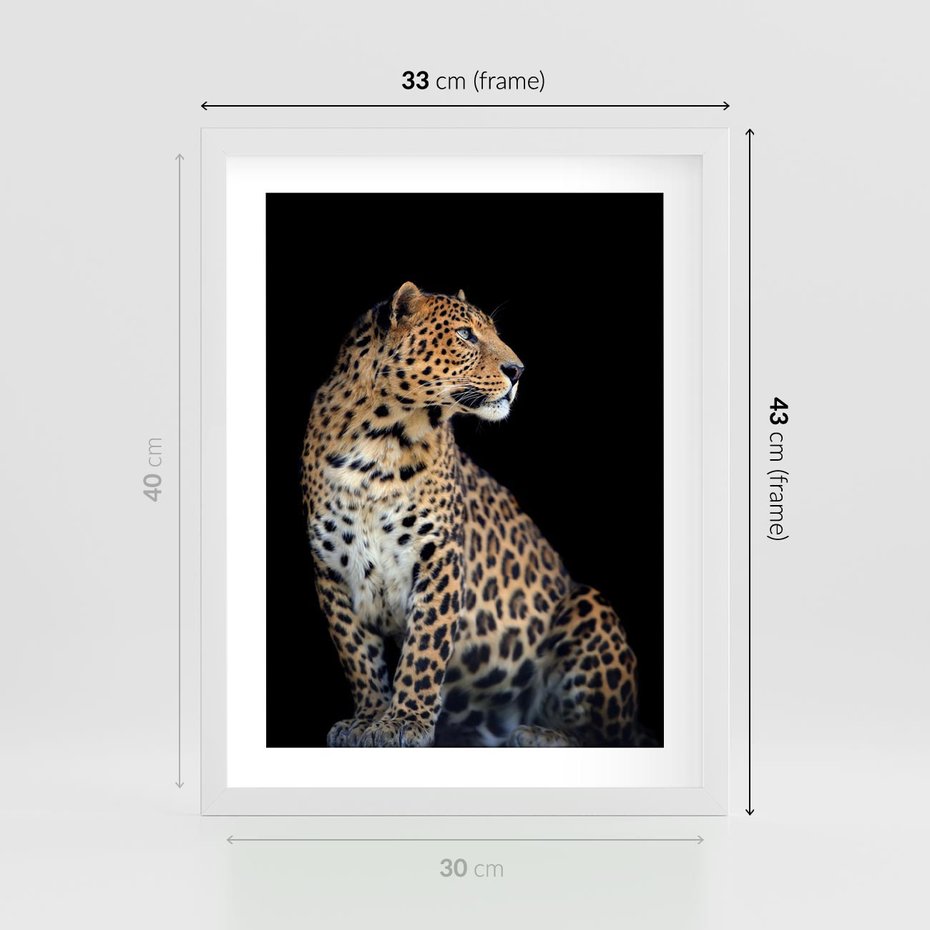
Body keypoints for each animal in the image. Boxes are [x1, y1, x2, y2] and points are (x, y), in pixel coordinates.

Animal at [301, 282, 641, 748]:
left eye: (493, 333)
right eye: (465, 335)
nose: (518, 370)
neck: (379, 441)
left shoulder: (439, 557)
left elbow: (424, 649)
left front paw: (403, 722)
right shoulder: (332, 568)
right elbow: (358, 655)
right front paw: (367, 719)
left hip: (589, 604)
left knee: (611, 734)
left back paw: (541, 734)